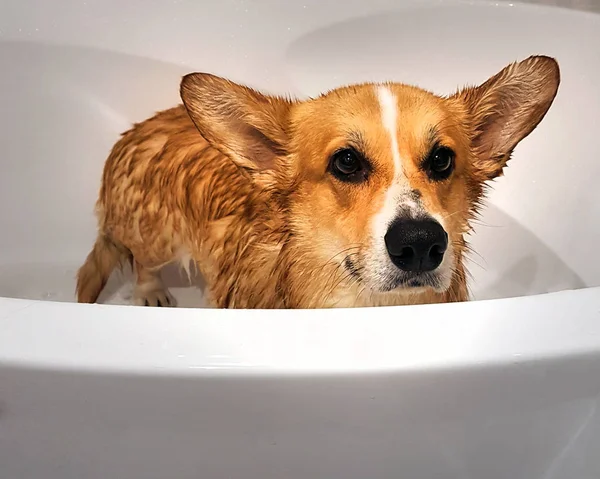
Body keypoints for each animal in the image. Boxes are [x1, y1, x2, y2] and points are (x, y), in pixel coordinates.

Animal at [75, 54, 556, 310]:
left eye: (441, 159)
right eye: (346, 162)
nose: (420, 243)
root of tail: (145, 125)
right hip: (155, 236)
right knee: (141, 260)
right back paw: (152, 294)